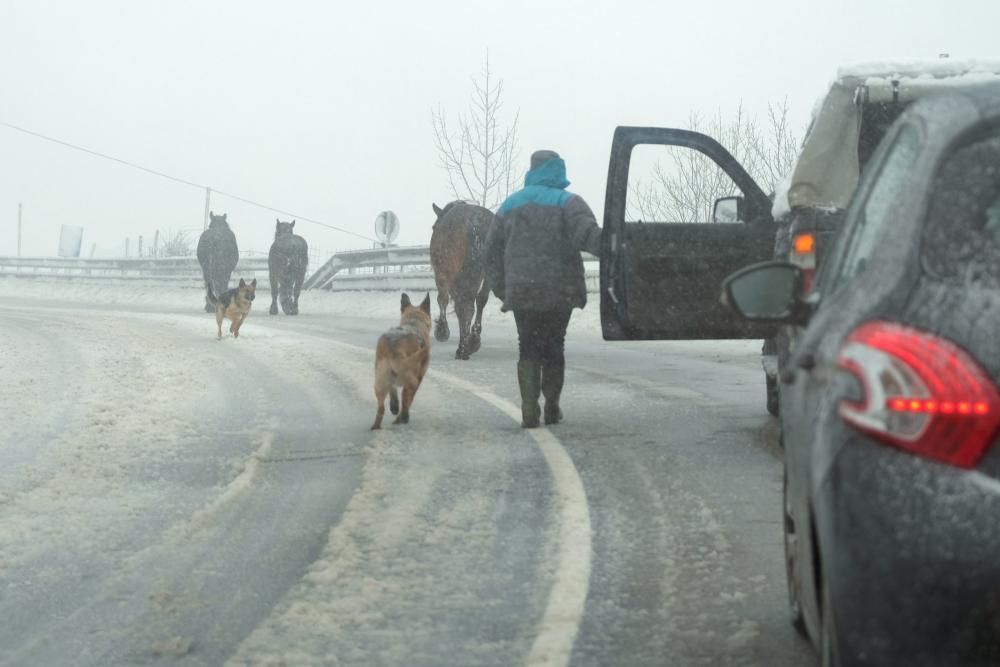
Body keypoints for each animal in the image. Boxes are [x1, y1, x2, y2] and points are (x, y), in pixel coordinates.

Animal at [428, 202, 494, 360]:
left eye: (434, 227)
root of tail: (476, 225)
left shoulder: (445, 276)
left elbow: (445, 301)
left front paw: (442, 330)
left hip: (453, 274)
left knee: (464, 306)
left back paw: (463, 347)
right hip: (487, 275)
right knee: (480, 301)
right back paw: (473, 340)